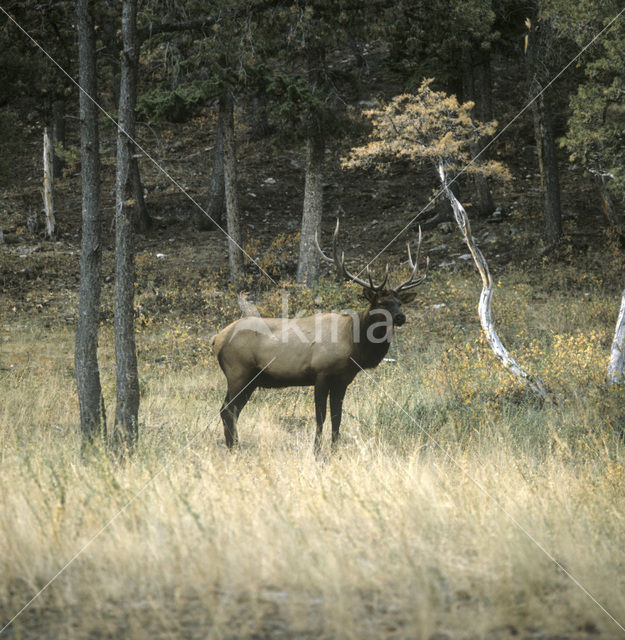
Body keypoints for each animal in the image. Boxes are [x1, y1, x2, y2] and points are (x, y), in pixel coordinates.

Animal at [210, 222, 424, 452]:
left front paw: (335, 449)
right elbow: (320, 416)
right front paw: (317, 450)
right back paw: (233, 448)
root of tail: (216, 339)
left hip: (250, 380)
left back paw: (234, 446)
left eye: (399, 303)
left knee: (232, 411)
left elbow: (337, 417)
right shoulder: (321, 373)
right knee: (226, 410)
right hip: (238, 373)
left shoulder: (343, 379)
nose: (401, 317)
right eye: (382, 303)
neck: (354, 346)